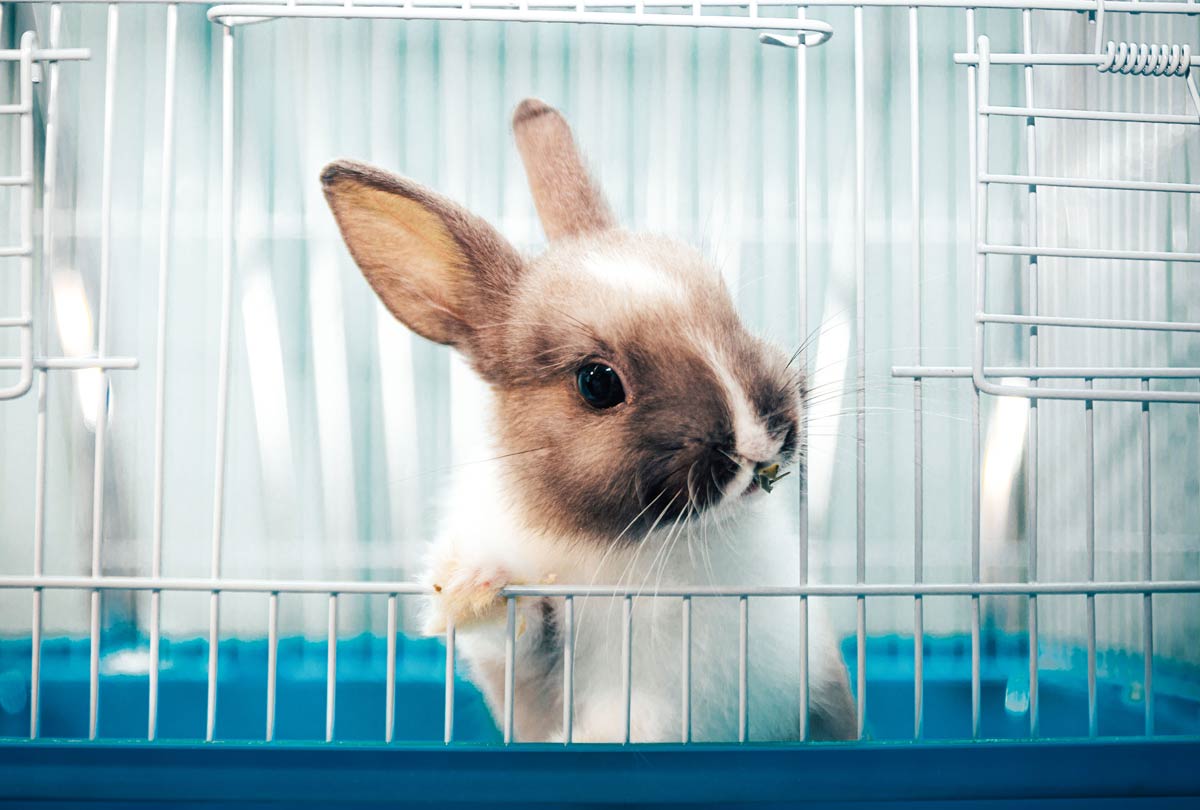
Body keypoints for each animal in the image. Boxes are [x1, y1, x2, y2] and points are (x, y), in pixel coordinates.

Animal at [320, 98, 857, 743]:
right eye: (597, 383)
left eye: (731, 312)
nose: (759, 439)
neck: (652, 542)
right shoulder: (537, 668)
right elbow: (519, 637)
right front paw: (474, 585)